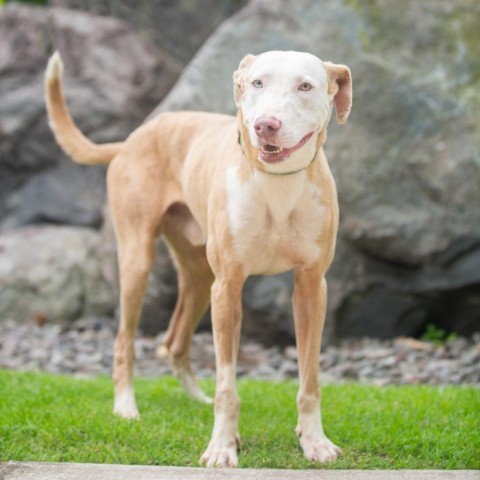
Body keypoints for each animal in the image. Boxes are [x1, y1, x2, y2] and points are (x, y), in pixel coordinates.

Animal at [45, 50, 352, 466]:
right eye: (257, 83)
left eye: (305, 86)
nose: (265, 125)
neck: (276, 184)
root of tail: (132, 138)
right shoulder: (228, 288)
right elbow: (227, 383)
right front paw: (222, 446)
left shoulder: (311, 288)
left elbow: (310, 379)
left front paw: (314, 441)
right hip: (139, 263)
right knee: (124, 341)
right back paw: (125, 407)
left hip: (199, 276)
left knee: (175, 339)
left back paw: (195, 398)